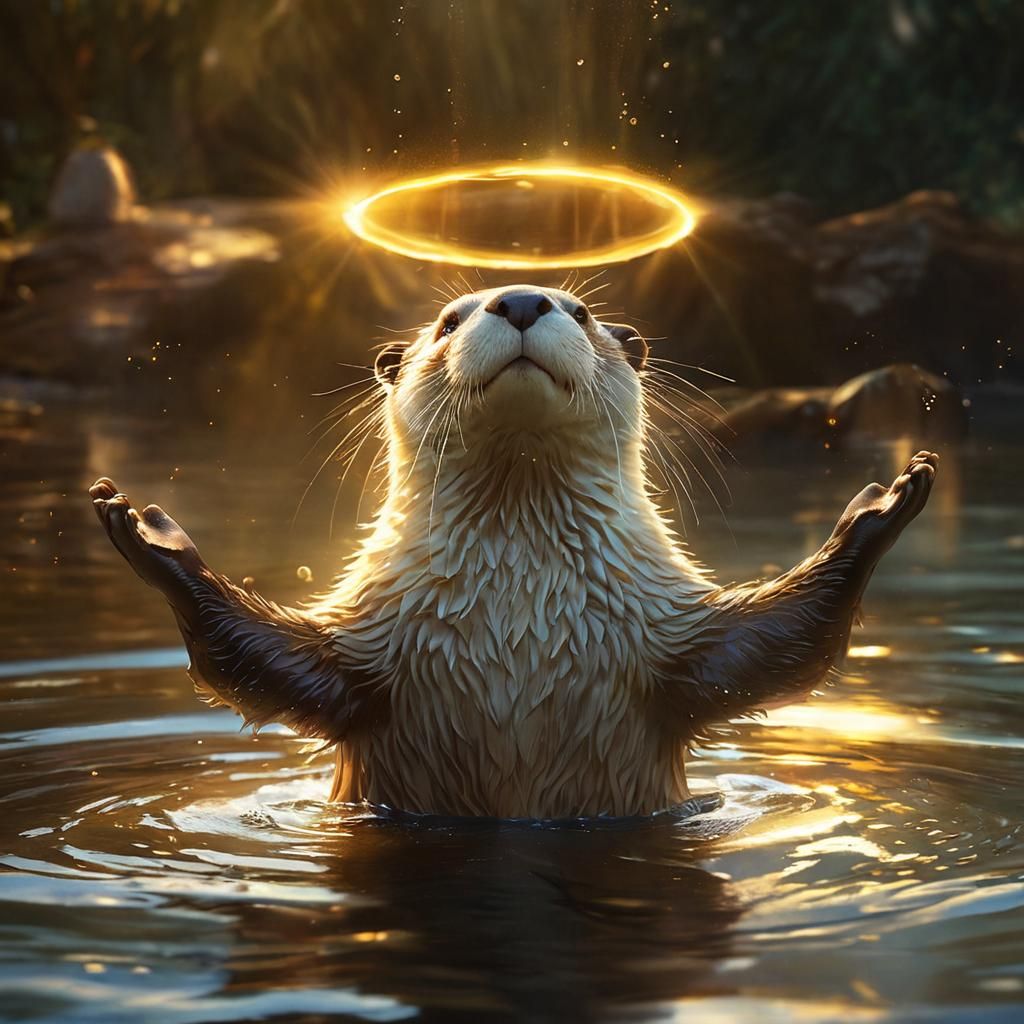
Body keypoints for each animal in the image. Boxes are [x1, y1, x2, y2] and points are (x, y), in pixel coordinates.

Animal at [89, 284, 937, 819]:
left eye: (584, 312)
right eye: (447, 320)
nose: (524, 300)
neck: (520, 609)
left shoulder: (668, 631)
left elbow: (771, 651)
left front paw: (880, 506)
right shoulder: (368, 642)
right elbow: (275, 666)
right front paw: (151, 535)